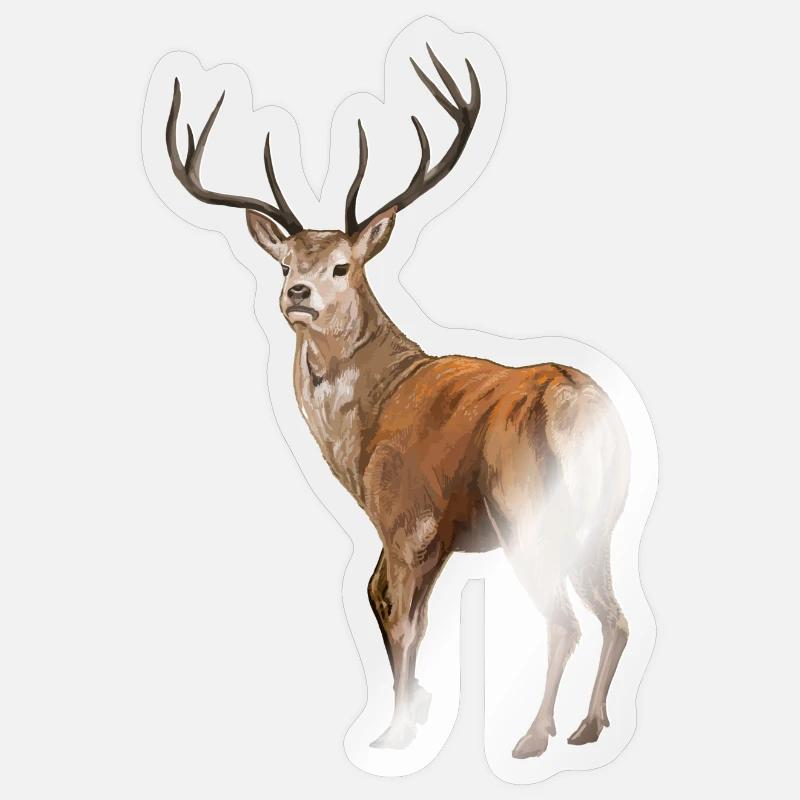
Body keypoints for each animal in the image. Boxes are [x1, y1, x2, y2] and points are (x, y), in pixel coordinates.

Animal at [164, 46, 631, 760]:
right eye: (283, 263)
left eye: (342, 266)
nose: (296, 293)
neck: (362, 436)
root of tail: (576, 405)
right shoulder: (426, 535)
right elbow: (382, 599)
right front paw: (418, 707)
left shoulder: (406, 514)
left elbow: (401, 614)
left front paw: (397, 730)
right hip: (602, 518)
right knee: (616, 615)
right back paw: (588, 725)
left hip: (529, 512)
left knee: (565, 620)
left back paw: (533, 735)